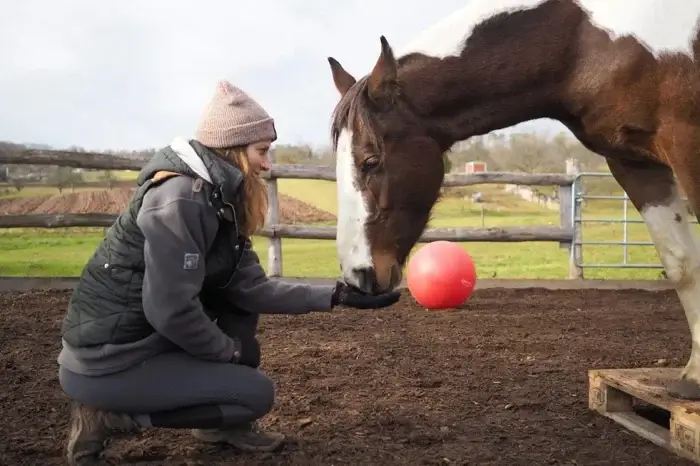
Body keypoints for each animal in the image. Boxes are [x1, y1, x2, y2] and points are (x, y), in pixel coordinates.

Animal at [326, 0, 700, 400]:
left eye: (370, 161)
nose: (359, 276)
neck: (587, 40)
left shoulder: (686, 145)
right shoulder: (634, 164)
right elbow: (681, 264)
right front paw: (693, 376)